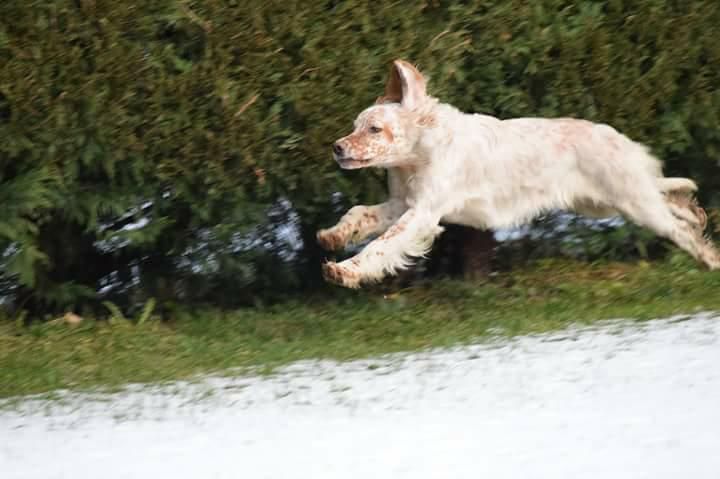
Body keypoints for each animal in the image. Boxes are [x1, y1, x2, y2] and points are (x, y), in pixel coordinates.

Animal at [318, 58, 716, 286]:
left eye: (375, 129)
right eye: (356, 126)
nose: (337, 147)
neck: (419, 153)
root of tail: (617, 137)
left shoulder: (423, 213)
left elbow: (382, 245)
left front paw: (345, 270)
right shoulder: (404, 203)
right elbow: (359, 213)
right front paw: (332, 236)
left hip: (631, 201)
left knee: (677, 227)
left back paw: (710, 258)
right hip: (603, 202)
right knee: (672, 200)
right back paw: (698, 214)